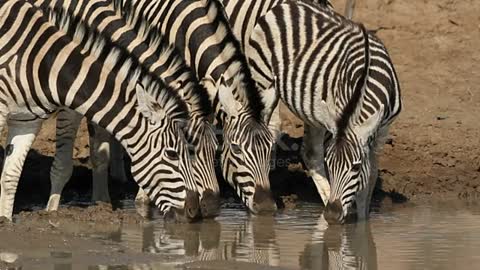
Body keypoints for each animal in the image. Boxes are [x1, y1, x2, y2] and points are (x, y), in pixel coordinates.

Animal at [0, 0, 199, 221]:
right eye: (172, 154)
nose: (194, 210)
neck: (44, 63)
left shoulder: (26, 122)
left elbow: (10, 177)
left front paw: (6, 221)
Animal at [240, 1, 402, 223]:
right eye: (330, 165)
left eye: (356, 167)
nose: (332, 215)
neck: (365, 79)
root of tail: (288, 4)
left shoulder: (382, 130)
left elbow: (370, 176)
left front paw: (362, 221)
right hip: (264, 83)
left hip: (312, 109)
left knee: (309, 152)